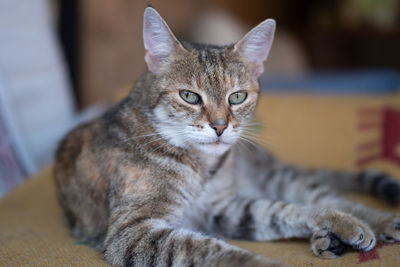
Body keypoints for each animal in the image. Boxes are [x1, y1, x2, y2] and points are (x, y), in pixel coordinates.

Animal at [54, 6, 400, 267]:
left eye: (237, 97)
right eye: (189, 96)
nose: (220, 126)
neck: (201, 166)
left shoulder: (220, 208)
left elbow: (281, 210)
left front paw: (340, 220)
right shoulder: (135, 231)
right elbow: (217, 249)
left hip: (278, 176)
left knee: (328, 195)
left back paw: (376, 220)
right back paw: (329, 239)